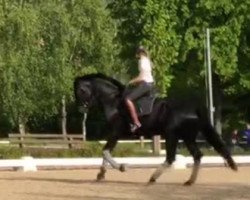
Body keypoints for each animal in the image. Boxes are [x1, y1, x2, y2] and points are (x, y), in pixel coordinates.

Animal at [73, 72, 237, 185]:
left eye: (81, 90)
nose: (80, 109)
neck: (113, 101)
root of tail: (192, 107)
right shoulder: (114, 134)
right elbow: (105, 152)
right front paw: (100, 174)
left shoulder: (116, 132)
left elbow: (105, 152)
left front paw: (122, 167)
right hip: (187, 136)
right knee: (197, 155)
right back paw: (189, 181)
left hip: (172, 135)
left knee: (171, 158)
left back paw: (153, 177)